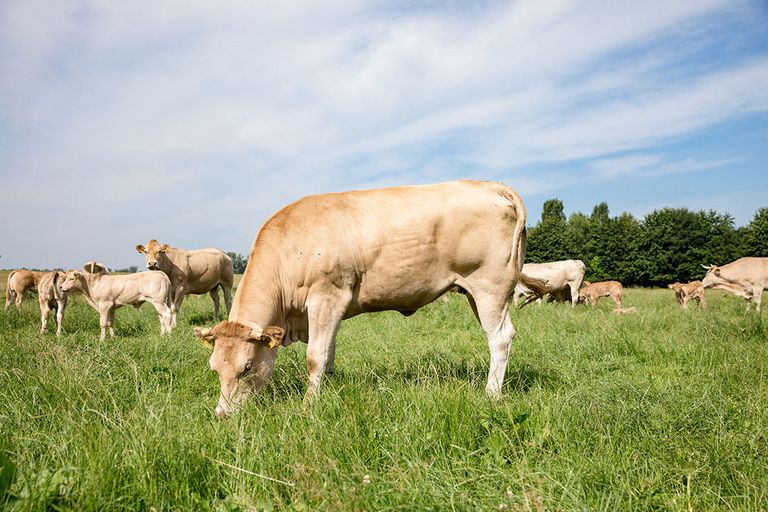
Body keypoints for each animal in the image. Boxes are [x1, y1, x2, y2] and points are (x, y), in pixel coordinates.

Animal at [195, 180, 548, 416]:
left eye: (246, 368)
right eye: (214, 369)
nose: (222, 415)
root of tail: (488, 185)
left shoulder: (326, 297)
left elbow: (315, 356)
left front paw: (309, 404)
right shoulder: (329, 310)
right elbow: (330, 352)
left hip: (490, 287)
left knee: (500, 338)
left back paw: (491, 393)